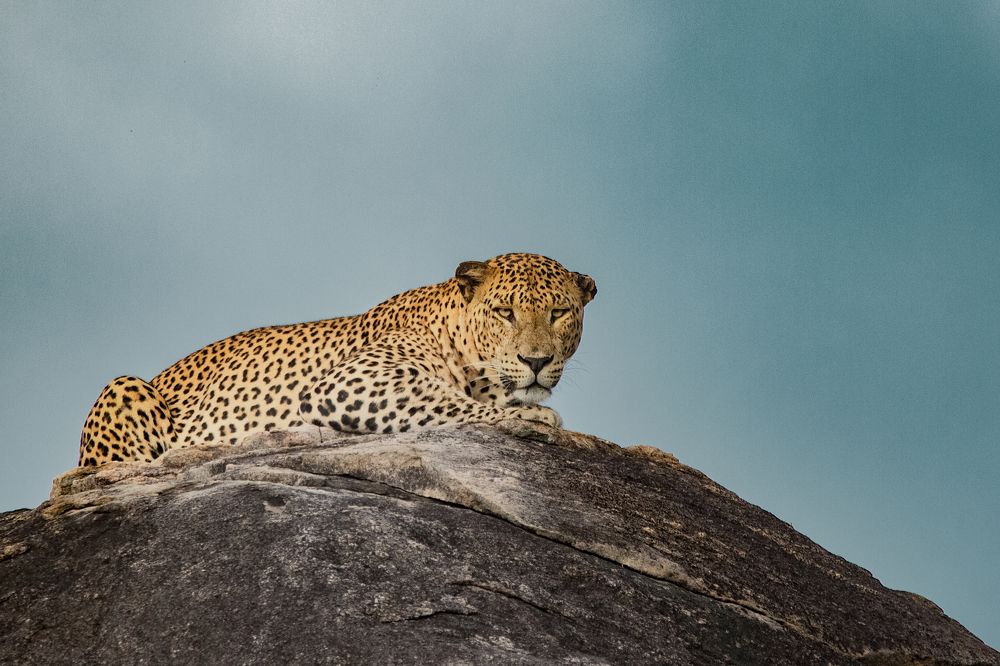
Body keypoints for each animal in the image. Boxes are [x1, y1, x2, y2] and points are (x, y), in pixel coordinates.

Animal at [78, 253, 597, 466]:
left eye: (559, 313)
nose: (535, 360)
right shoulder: (351, 380)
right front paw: (533, 416)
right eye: (505, 312)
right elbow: (449, 401)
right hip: (123, 386)